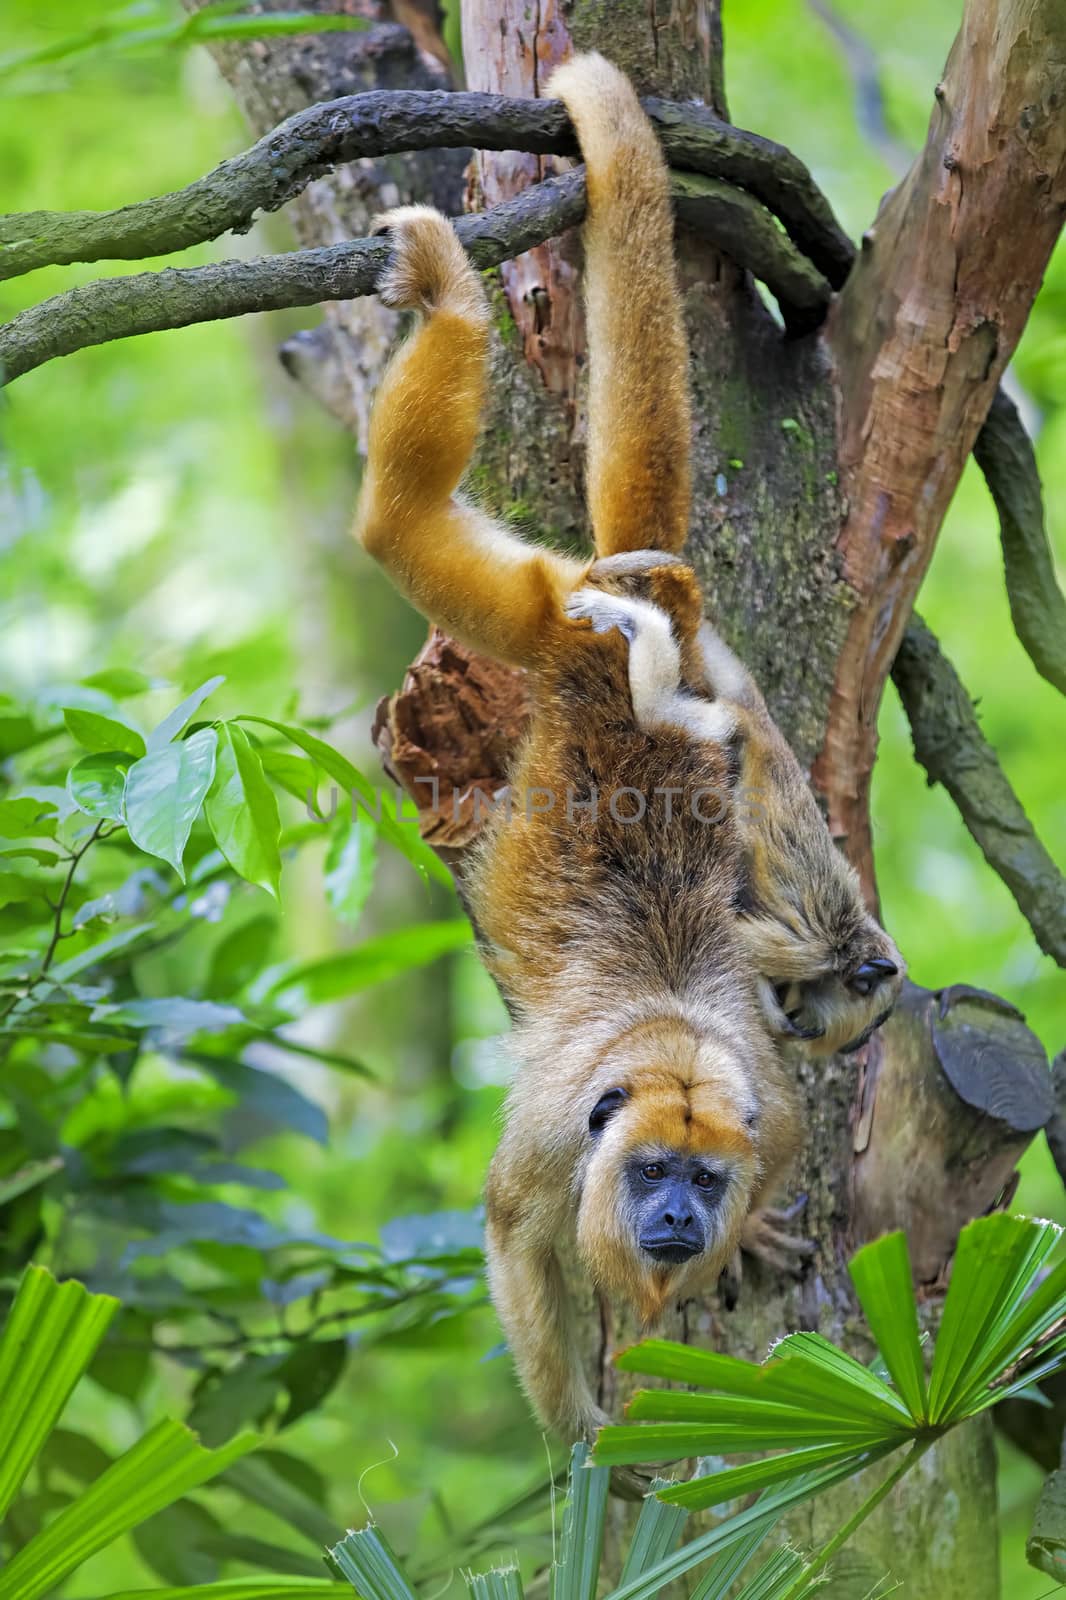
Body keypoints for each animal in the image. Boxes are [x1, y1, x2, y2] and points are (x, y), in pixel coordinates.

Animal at [355, 50, 896, 1452]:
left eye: (699, 1175)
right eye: (649, 1170)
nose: (677, 1216)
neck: (666, 1056)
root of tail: (615, 611)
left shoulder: (765, 1110)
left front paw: (735, 1251)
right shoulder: (556, 1143)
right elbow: (515, 1247)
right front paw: (584, 1441)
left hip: (565, 607)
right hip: (539, 613)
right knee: (393, 525)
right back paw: (447, 296)